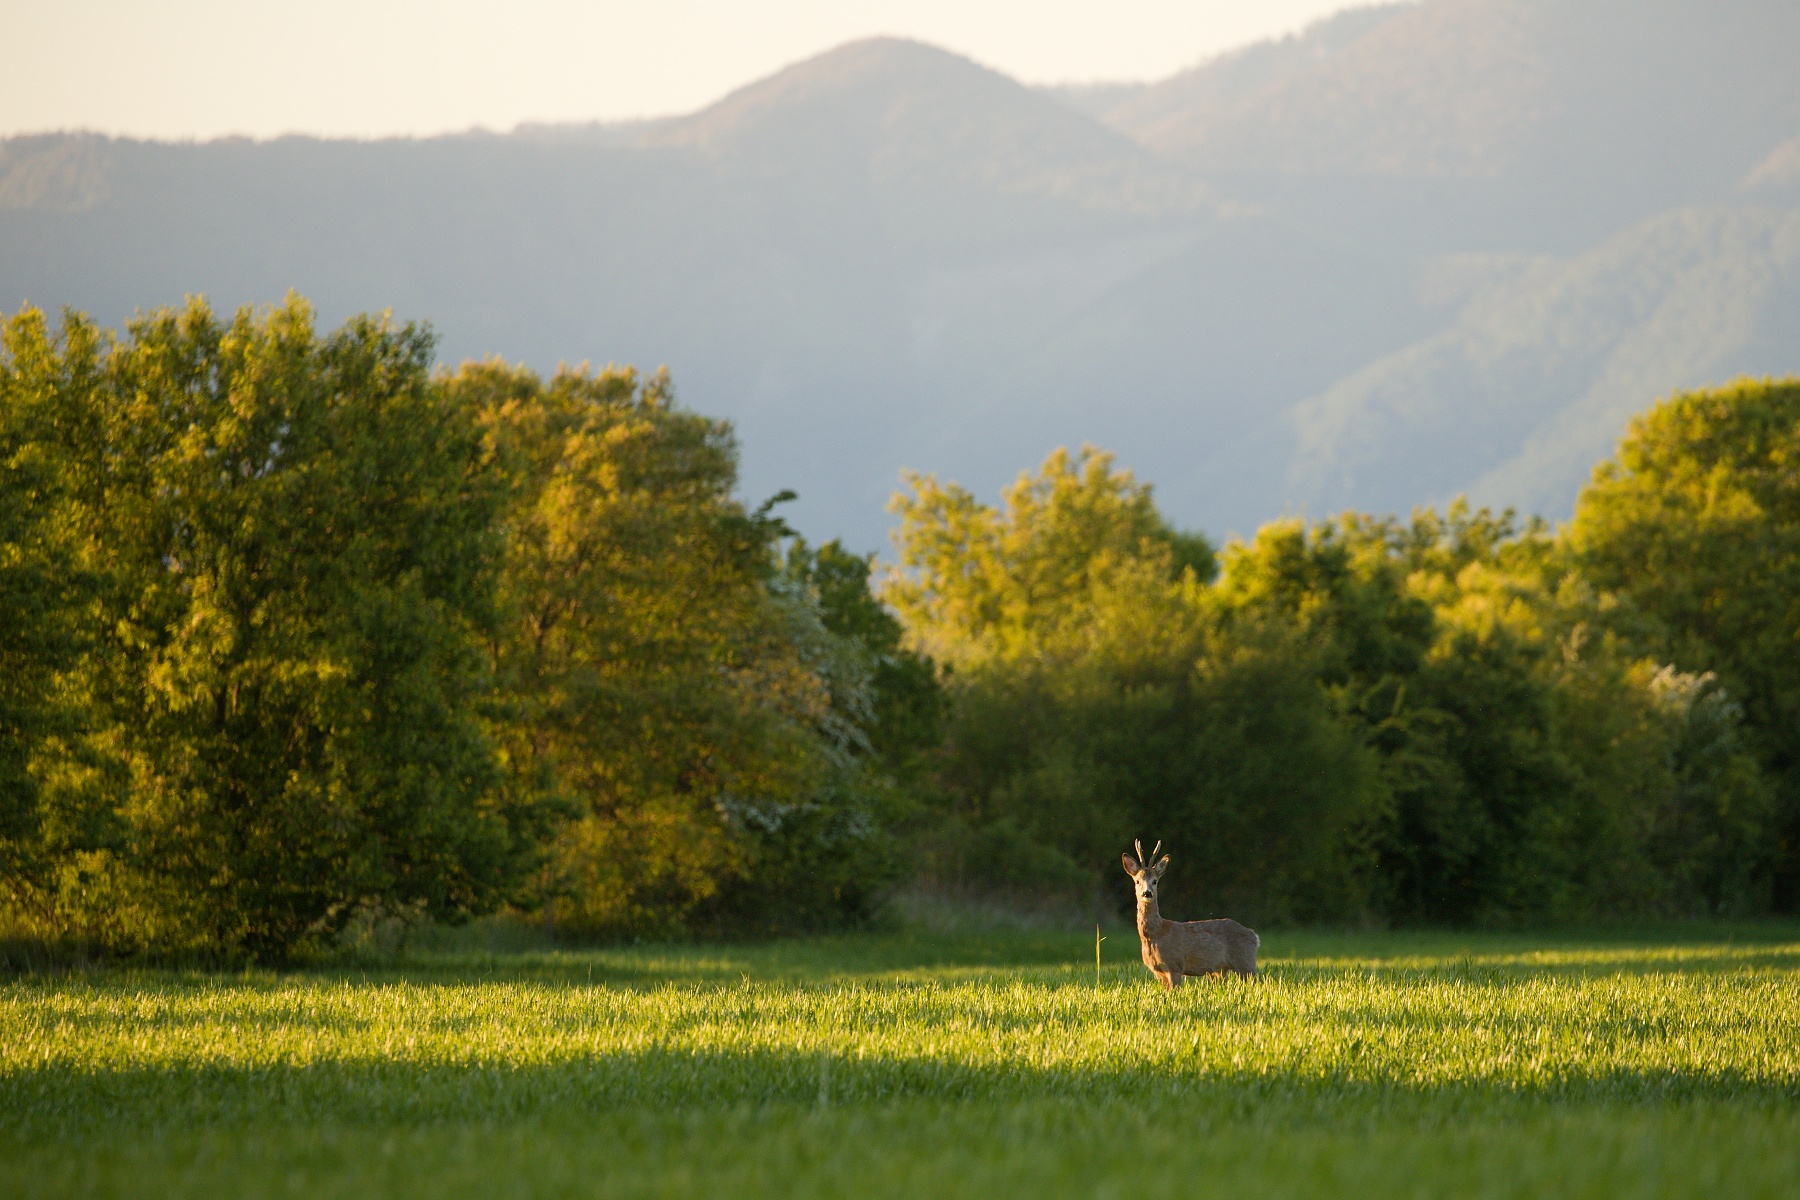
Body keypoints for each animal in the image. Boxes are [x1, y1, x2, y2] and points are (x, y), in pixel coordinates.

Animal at [1116, 841, 1260, 993]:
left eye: (1155, 881)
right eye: (1137, 881)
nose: (1147, 893)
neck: (1155, 935)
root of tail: (1254, 935)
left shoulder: (1175, 965)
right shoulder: (1158, 972)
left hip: (1245, 961)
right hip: (1220, 970)